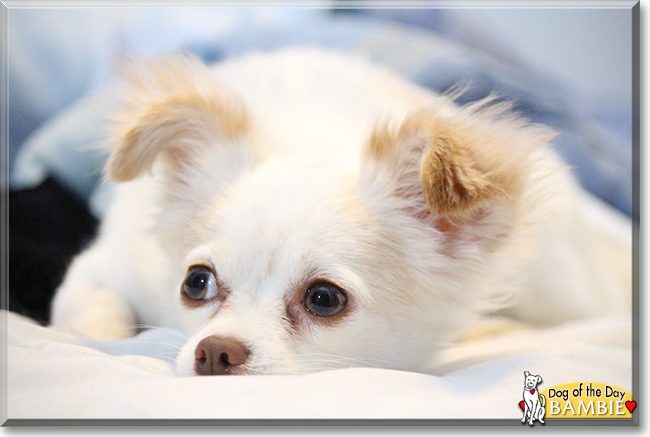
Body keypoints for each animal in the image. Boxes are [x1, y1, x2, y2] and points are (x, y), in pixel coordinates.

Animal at [50, 48, 628, 374]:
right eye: (196, 283)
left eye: (324, 299)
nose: (214, 351)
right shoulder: (107, 266)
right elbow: (95, 312)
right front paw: (94, 340)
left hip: (560, 286)